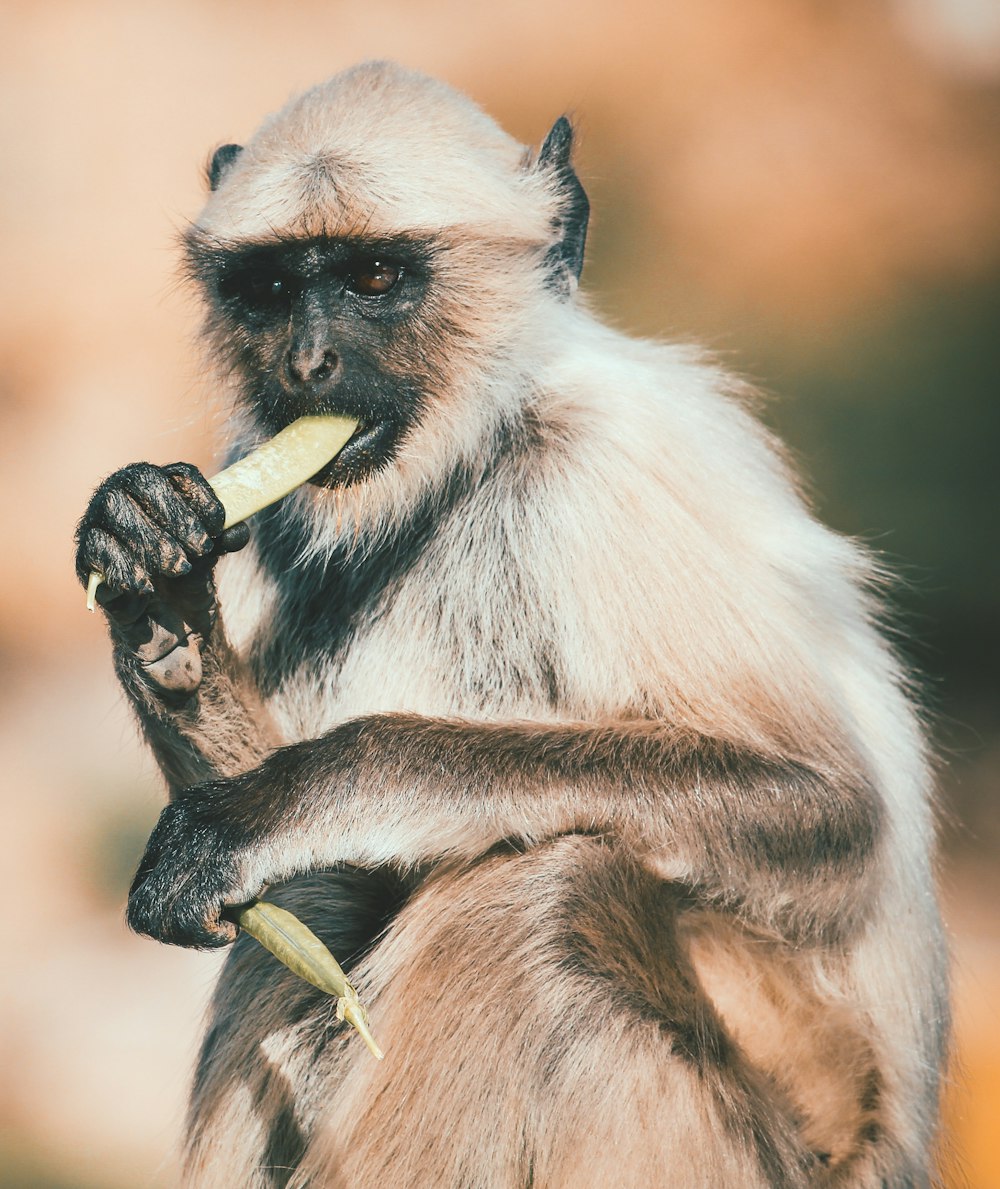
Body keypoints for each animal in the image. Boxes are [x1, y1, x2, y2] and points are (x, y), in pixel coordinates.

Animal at [74, 62, 946, 1189]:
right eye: (268, 290)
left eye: (373, 278)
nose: (307, 365)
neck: (469, 454)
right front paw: (158, 590)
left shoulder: (607, 466)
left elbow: (826, 806)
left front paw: (281, 802)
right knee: (335, 893)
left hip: (733, 1143)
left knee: (543, 889)